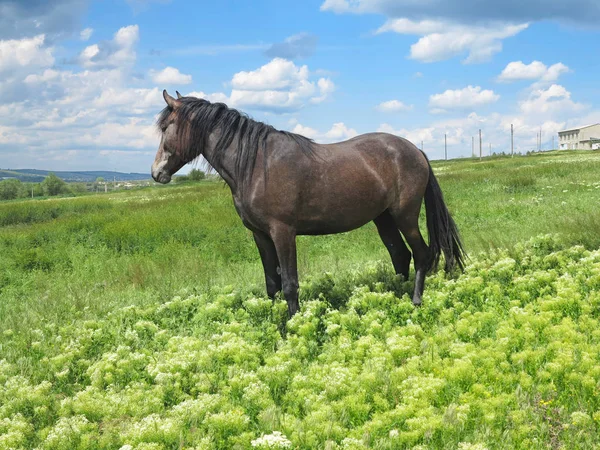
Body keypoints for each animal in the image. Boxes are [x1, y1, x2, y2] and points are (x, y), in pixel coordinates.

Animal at [152, 90, 466, 316]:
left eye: (166, 127)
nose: (156, 173)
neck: (256, 164)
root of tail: (415, 150)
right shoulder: (260, 235)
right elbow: (272, 284)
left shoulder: (283, 232)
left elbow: (290, 284)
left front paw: (291, 328)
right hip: (383, 218)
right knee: (400, 256)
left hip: (405, 215)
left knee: (422, 254)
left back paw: (415, 301)